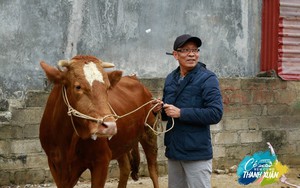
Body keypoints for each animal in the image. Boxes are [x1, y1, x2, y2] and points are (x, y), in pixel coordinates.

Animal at [41, 55, 161, 187]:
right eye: (78, 86)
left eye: (108, 88)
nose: (110, 126)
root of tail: (134, 79)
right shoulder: (54, 164)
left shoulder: (102, 160)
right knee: (125, 167)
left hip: (150, 132)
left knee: (153, 170)